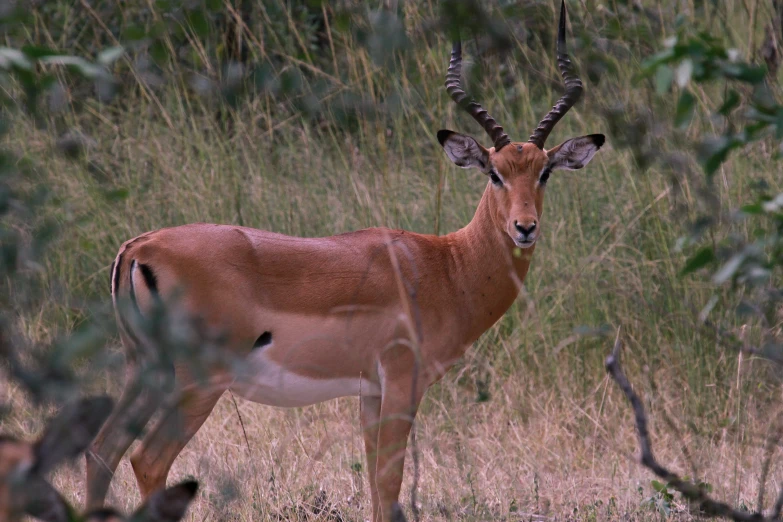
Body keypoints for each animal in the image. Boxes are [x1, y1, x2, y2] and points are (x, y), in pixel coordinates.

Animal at [84, 2, 600, 516]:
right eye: (494, 172)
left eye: (545, 171)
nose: (524, 227)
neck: (446, 266)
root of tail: (140, 247)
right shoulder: (401, 383)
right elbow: (389, 484)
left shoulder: (370, 392)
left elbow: (373, 483)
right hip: (198, 383)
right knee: (147, 460)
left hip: (144, 371)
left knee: (100, 451)